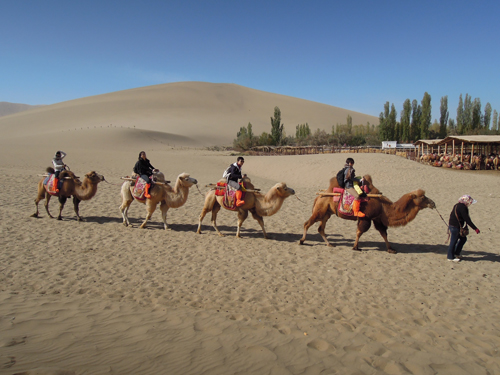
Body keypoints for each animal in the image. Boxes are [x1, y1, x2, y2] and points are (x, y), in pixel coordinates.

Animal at [298, 176, 436, 253]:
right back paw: (302, 241)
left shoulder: (377, 218)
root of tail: (320, 195)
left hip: (327, 213)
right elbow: (360, 232)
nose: (433, 203)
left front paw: (391, 249)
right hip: (320, 210)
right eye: (422, 197)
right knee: (307, 223)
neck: (384, 206)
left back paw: (329, 244)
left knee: (321, 228)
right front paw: (355, 247)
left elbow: (383, 233)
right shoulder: (367, 218)